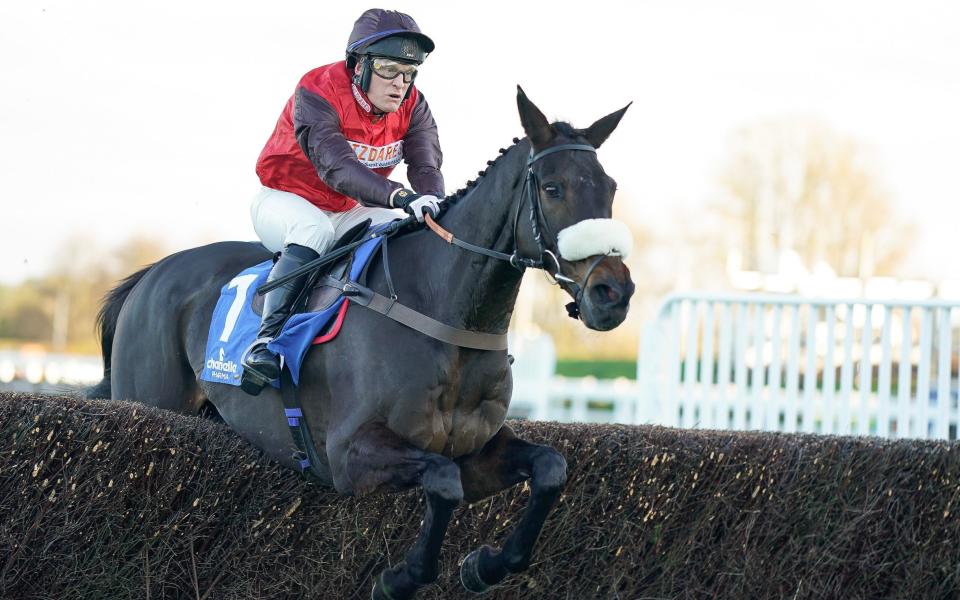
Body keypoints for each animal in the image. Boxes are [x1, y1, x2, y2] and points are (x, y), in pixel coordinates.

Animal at [88, 89, 632, 600]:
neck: (444, 312)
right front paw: (400, 578)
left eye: (609, 187)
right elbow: (442, 481)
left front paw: (486, 565)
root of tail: (150, 273)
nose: (614, 293)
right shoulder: (348, 455)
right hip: (151, 402)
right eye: (553, 187)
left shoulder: (476, 451)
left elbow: (550, 467)